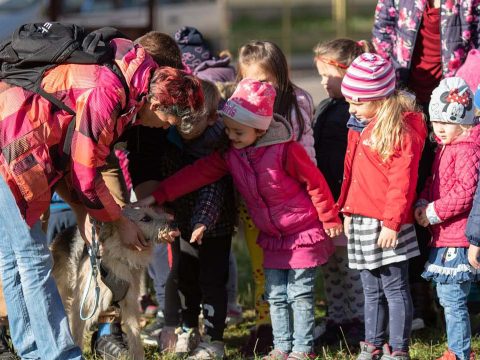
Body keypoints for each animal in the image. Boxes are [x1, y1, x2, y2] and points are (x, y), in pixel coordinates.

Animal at [51, 207, 174, 358]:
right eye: (146, 218)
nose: (173, 222)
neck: (120, 256)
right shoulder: (83, 305)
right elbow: (77, 334)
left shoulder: (129, 303)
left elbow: (135, 336)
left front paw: (137, 355)